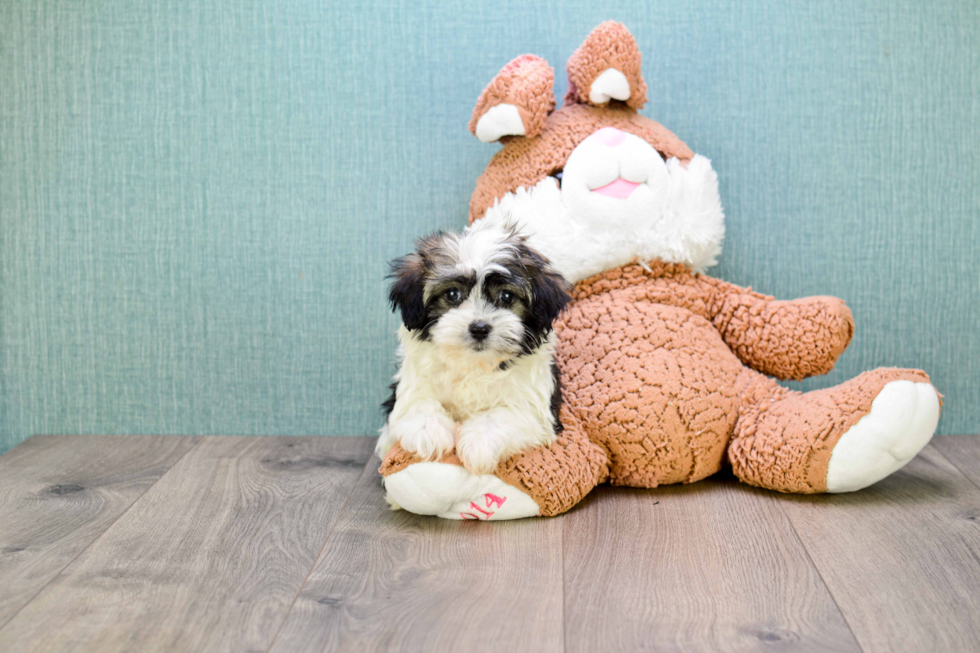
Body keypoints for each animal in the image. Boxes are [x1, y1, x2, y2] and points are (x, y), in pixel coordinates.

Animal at [378, 219, 576, 474]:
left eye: (506, 296)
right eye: (453, 294)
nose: (479, 328)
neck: (474, 364)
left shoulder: (535, 407)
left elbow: (505, 414)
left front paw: (478, 444)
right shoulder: (412, 383)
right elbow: (417, 402)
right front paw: (429, 432)